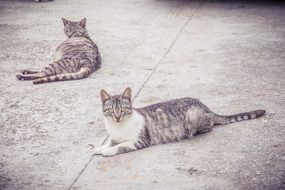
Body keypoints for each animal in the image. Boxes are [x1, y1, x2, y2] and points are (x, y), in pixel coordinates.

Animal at [94, 87, 266, 157]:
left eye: (123, 109)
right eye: (111, 111)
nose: (117, 117)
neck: (118, 127)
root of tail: (206, 107)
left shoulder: (140, 141)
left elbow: (120, 146)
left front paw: (107, 151)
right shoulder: (113, 135)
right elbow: (110, 141)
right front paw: (99, 148)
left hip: (191, 116)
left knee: (208, 127)